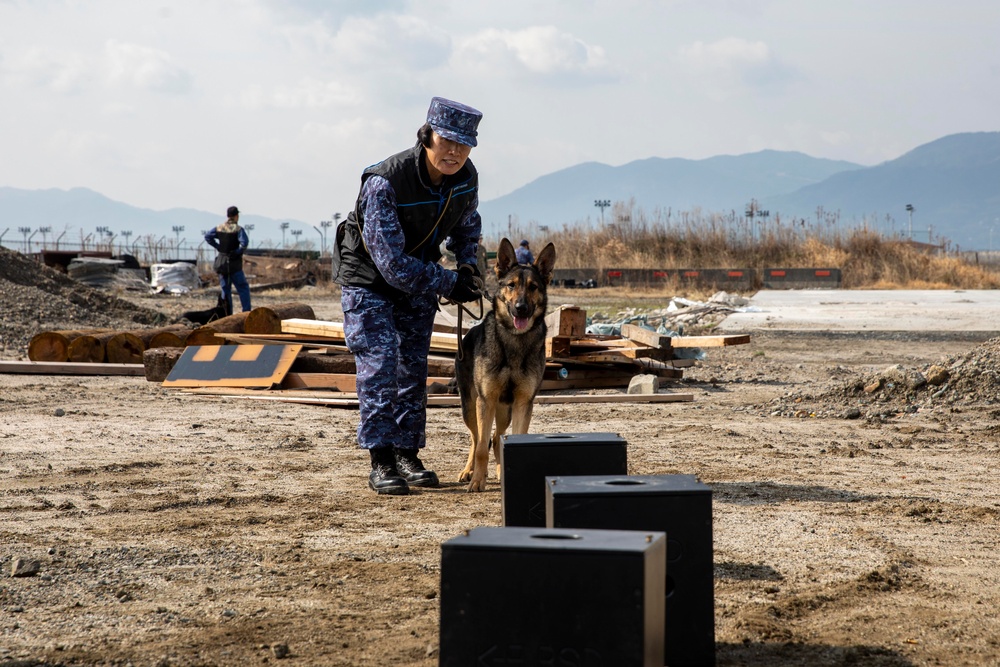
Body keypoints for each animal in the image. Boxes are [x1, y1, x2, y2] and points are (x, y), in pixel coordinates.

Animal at [458, 237, 560, 494]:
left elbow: (512, 439)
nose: (521, 308)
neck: (515, 340)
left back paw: (498, 470)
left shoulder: (523, 403)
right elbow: (481, 447)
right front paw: (477, 481)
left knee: (497, 438)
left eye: (533, 287)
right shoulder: (486, 401)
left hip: (505, 411)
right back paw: (469, 470)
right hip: (471, 406)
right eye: (511, 285)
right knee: (476, 438)